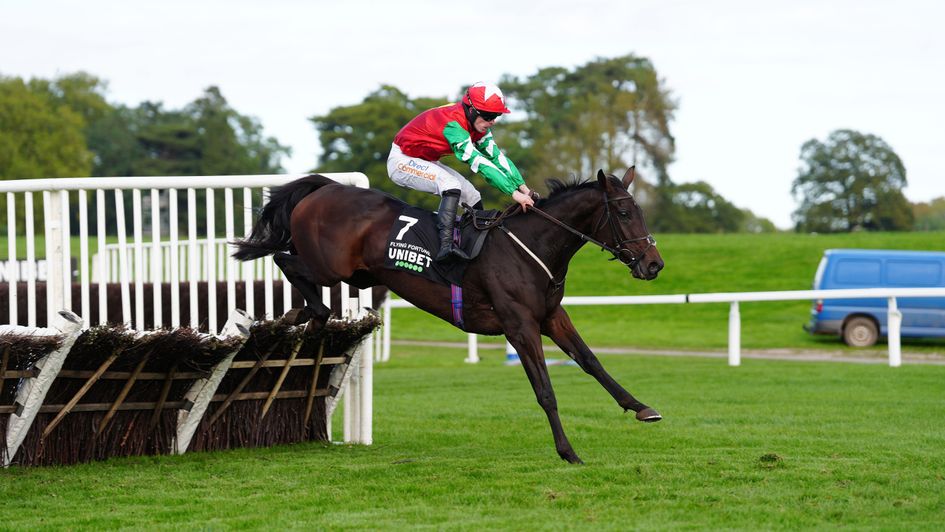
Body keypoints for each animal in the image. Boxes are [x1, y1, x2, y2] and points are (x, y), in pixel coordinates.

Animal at [234, 168, 664, 464]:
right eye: (624, 212)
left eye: (640, 210)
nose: (654, 264)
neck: (533, 245)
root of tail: (325, 187)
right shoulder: (519, 325)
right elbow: (545, 390)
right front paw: (567, 451)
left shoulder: (551, 316)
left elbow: (591, 361)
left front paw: (642, 407)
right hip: (331, 268)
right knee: (285, 260)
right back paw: (304, 317)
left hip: (359, 273)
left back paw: (297, 316)